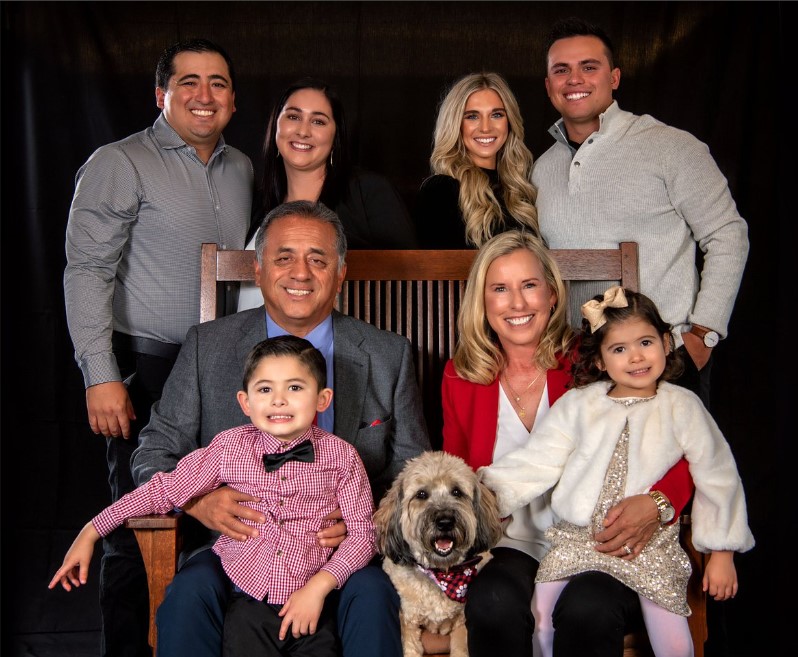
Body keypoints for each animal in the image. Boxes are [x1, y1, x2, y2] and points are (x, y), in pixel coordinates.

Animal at [374, 452, 500, 656]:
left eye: (456, 492)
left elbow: (461, 649)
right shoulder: (407, 621)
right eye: (421, 494)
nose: (445, 521)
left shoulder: (462, 623)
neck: (442, 574)